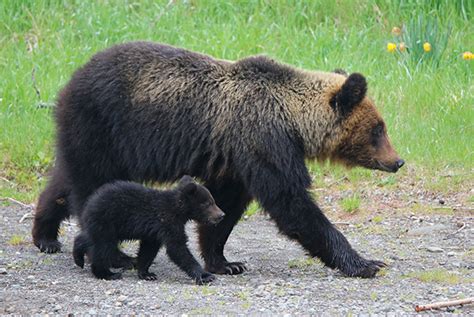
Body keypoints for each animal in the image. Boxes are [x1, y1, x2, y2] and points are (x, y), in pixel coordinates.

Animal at [72, 175, 224, 284]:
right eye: (208, 203)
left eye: (213, 201)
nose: (221, 215)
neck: (178, 210)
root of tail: (90, 203)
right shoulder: (167, 222)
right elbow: (177, 248)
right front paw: (205, 276)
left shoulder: (154, 231)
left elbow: (149, 249)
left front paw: (146, 273)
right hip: (108, 222)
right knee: (103, 248)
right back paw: (108, 273)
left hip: (109, 227)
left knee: (90, 239)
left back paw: (78, 257)